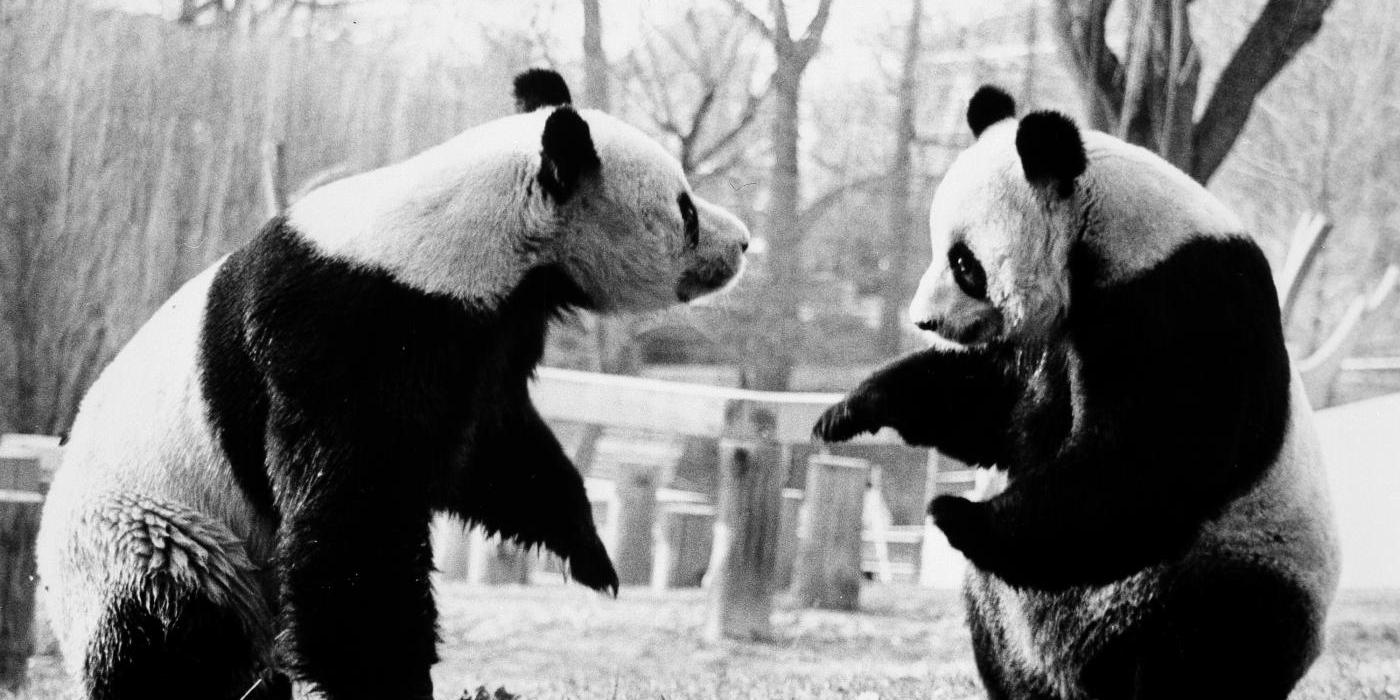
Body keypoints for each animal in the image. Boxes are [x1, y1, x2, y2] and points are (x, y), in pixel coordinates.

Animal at [35, 69, 756, 700]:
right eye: (685, 210)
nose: (745, 243)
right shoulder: (350, 330)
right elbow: (354, 518)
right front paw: (393, 680)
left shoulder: (482, 337)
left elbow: (496, 450)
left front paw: (590, 554)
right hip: (154, 530)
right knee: (170, 631)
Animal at [817, 87, 1338, 700]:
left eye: (965, 264)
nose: (924, 321)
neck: (1105, 232)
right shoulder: (1058, 333)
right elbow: (997, 412)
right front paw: (851, 409)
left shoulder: (1183, 301)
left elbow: (1151, 459)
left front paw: (957, 514)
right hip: (1010, 619)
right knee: (1004, 643)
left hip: (1231, 570)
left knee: (1200, 654)